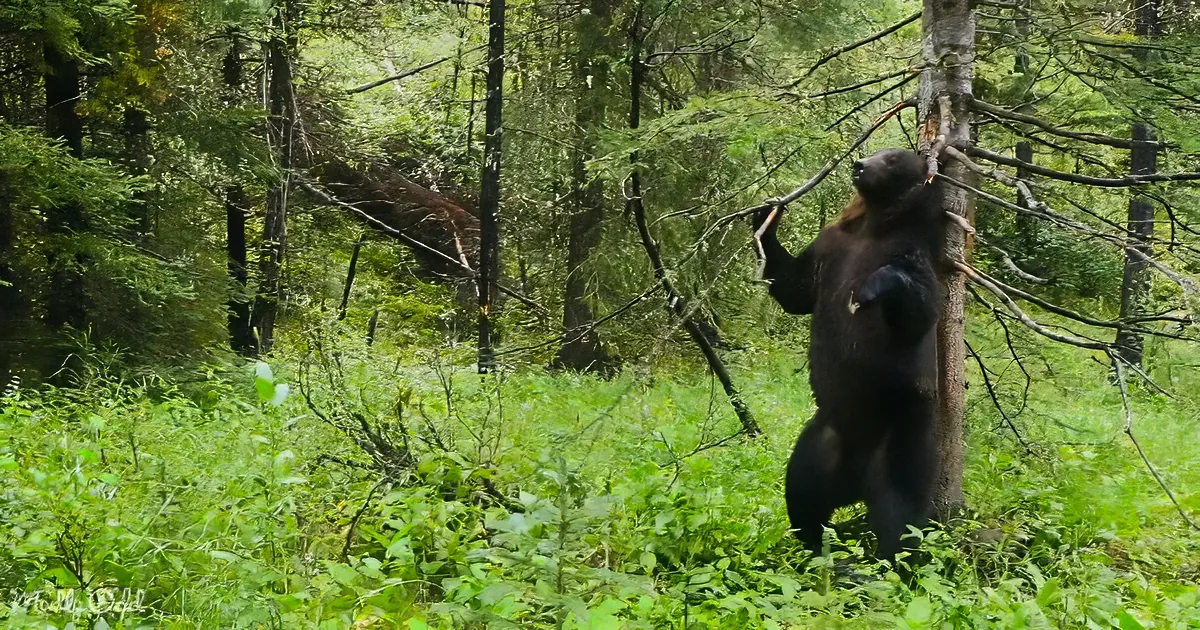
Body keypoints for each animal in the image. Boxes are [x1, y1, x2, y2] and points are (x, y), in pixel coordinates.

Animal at [752, 147, 945, 562]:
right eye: (876, 152)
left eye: (892, 158)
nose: (860, 164)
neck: (873, 227)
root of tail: (854, 485)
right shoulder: (830, 249)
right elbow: (795, 288)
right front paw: (766, 217)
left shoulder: (913, 254)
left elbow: (919, 311)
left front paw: (870, 288)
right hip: (824, 436)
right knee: (801, 489)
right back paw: (817, 544)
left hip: (902, 433)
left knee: (900, 509)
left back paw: (889, 562)